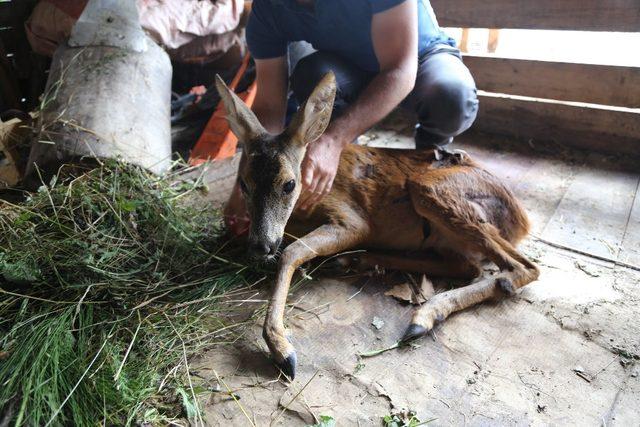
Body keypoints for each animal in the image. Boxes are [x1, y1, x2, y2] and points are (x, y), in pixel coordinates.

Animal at [215, 72, 540, 380]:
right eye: (243, 184)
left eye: (289, 184)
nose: (261, 244)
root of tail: (522, 219)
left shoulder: (353, 219)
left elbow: (291, 252)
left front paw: (282, 349)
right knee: (468, 267)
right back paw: (356, 262)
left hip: (433, 190)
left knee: (522, 269)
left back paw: (423, 316)